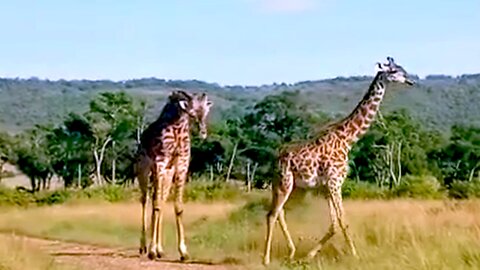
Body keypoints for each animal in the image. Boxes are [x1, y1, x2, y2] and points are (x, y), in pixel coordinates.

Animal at [133, 89, 212, 260]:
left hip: (167, 175)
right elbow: (156, 205)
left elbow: (177, 207)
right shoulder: (160, 163)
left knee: (160, 202)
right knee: (146, 200)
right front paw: (152, 250)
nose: (203, 133)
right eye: (192, 113)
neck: (178, 129)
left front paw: (183, 251)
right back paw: (144, 248)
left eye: (206, 112)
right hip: (143, 171)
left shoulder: (182, 165)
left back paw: (160, 249)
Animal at [262, 57, 416, 266]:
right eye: (394, 71)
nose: (410, 81)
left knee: (280, 213)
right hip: (284, 182)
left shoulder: (327, 186)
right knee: (272, 214)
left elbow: (334, 224)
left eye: (402, 69)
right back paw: (266, 259)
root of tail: (275, 159)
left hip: (292, 186)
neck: (348, 139)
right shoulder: (335, 182)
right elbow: (343, 220)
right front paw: (355, 255)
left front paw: (309, 255)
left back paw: (292, 252)